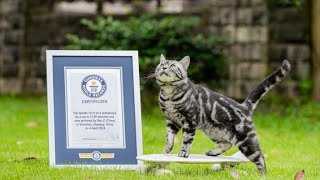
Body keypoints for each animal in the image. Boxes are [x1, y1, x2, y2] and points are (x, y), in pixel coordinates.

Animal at [154, 54, 292, 174]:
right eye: (161, 65)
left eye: (172, 65)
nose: (164, 68)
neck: (169, 94)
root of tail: (243, 106)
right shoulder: (172, 121)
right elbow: (169, 138)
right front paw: (165, 150)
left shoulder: (189, 121)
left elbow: (187, 140)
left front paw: (183, 153)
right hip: (214, 132)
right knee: (227, 143)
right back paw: (212, 152)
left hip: (246, 141)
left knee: (260, 157)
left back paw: (262, 174)